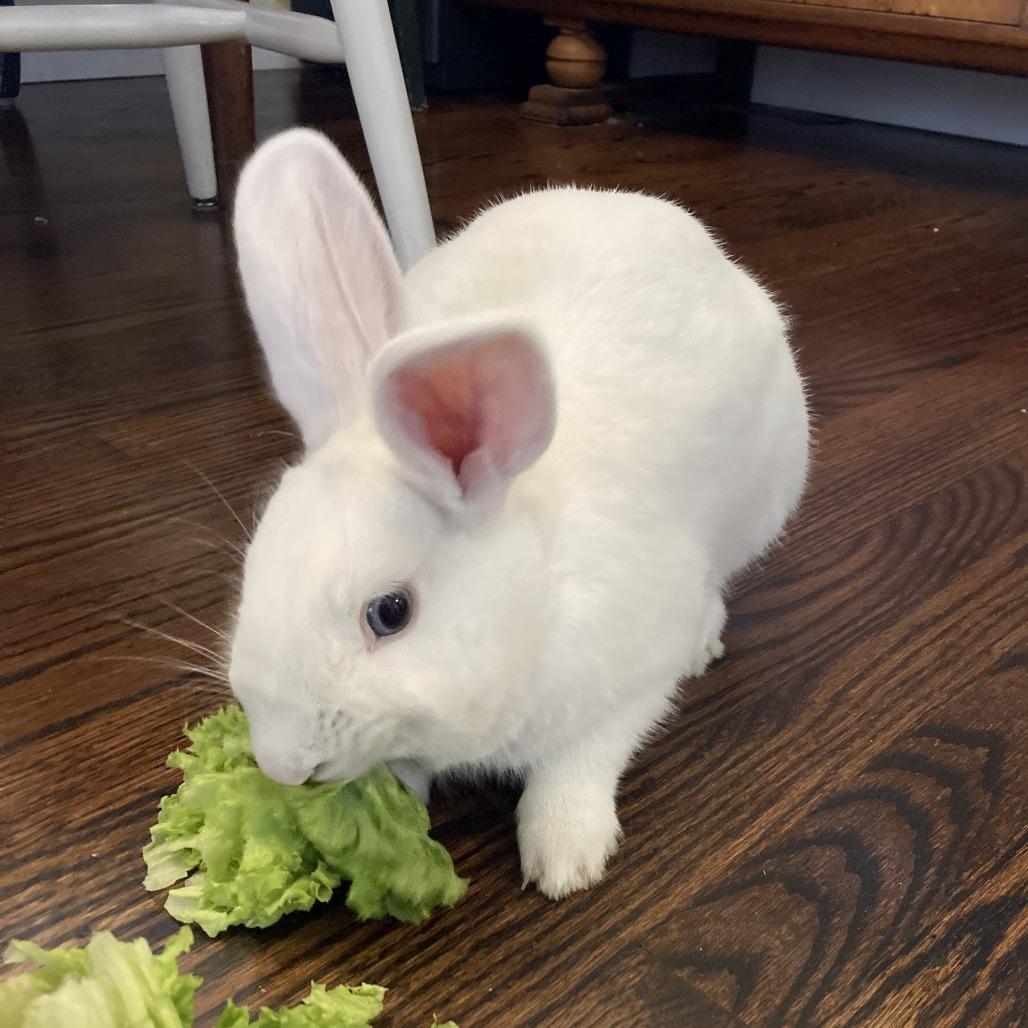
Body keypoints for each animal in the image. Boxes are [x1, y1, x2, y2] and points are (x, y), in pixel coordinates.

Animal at [227, 127, 809, 900]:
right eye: (251, 573)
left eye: (390, 612)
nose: (282, 765)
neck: (538, 595)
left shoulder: (627, 684)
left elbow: (580, 763)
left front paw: (565, 859)